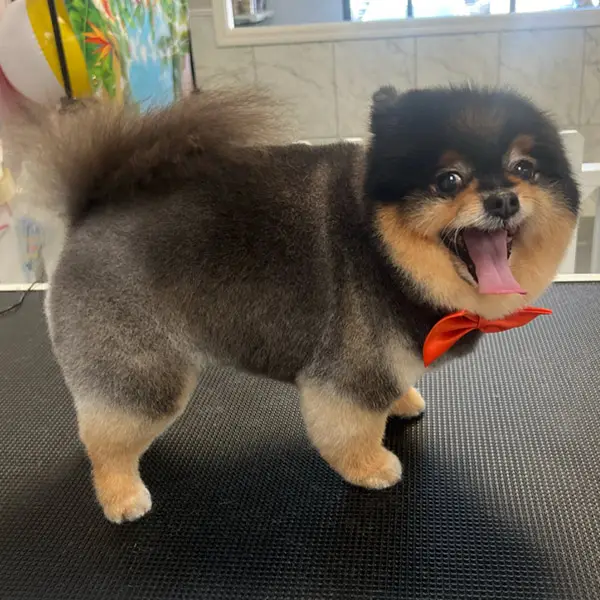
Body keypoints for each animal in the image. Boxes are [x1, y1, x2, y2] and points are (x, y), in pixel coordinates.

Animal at [12, 84, 576, 520]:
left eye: (525, 168)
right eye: (449, 180)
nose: (503, 198)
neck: (384, 250)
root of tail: (87, 211)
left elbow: (392, 387)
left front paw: (402, 402)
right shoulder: (349, 369)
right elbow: (349, 428)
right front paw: (372, 467)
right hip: (141, 373)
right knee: (106, 442)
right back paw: (121, 495)